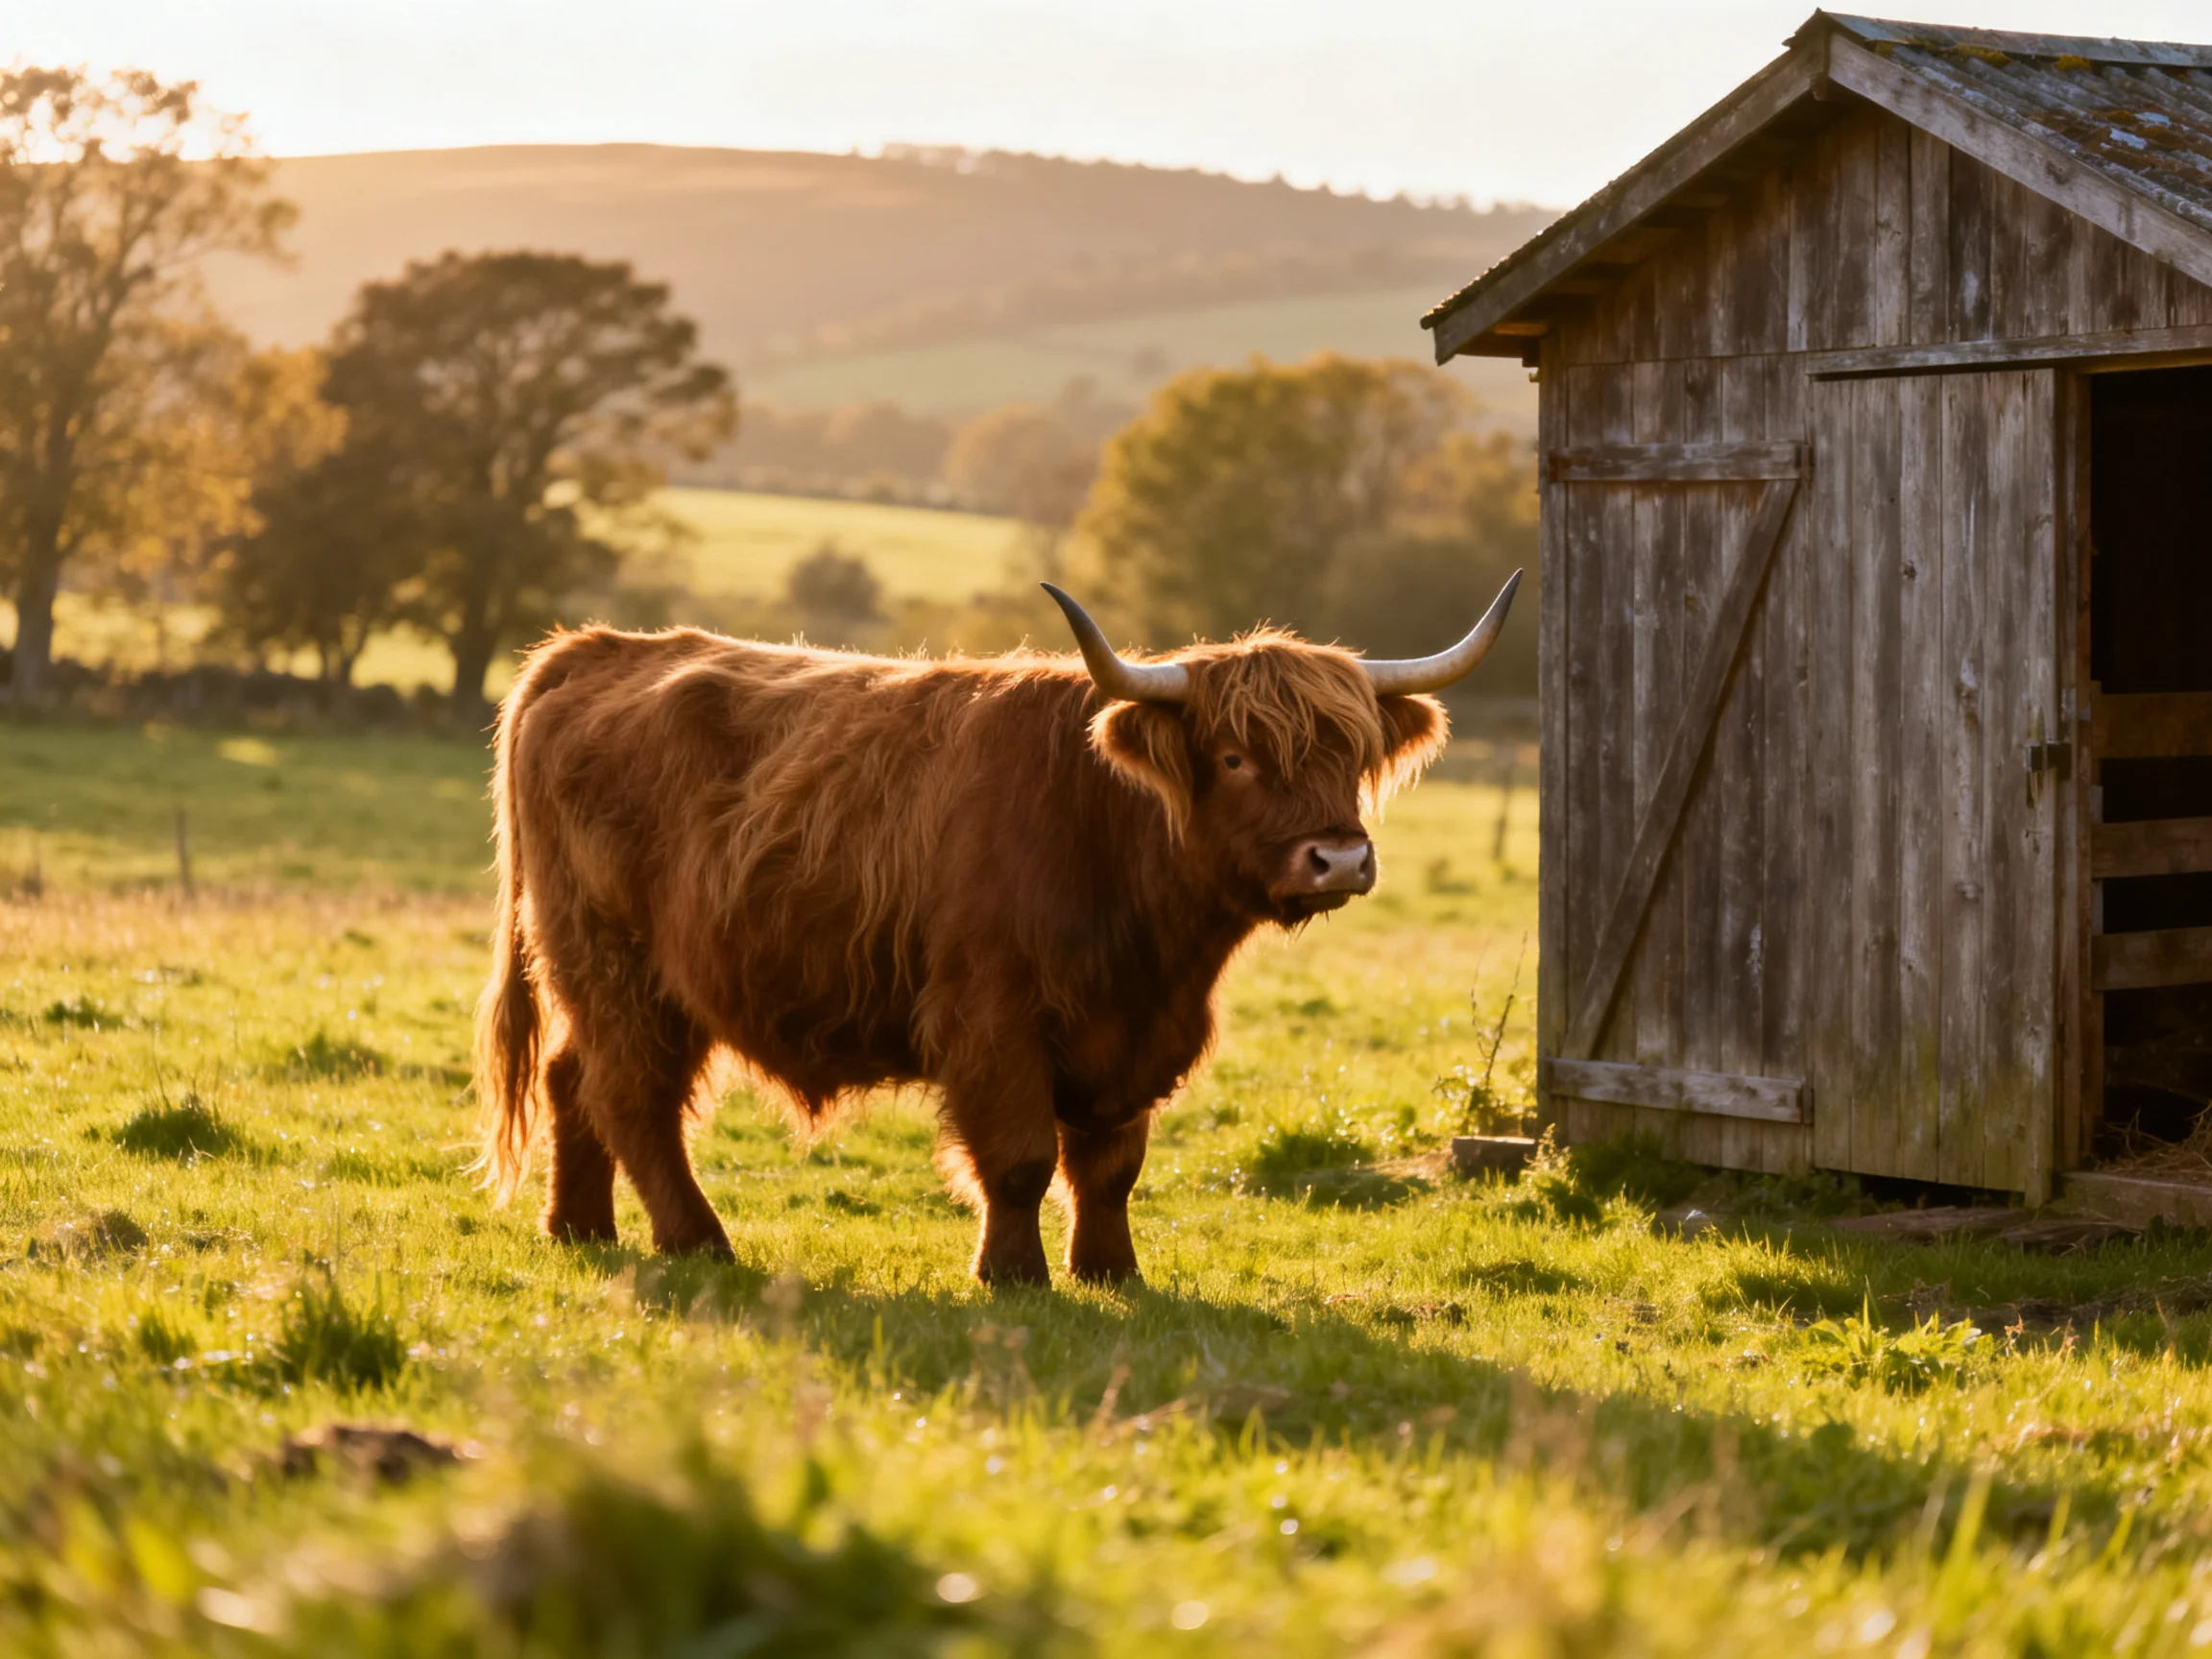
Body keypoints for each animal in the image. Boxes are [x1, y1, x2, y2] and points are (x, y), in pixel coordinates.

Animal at [473, 574, 1519, 1286]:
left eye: (1351, 755)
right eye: (1233, 757)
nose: (1338, 858)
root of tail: (593, 648)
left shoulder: (1134, 1031)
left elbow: (1111, 1166)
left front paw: (1111, 1270)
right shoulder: (992, 1018)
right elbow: (1018, 1160)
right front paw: (1014, 1276)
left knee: (572, 1079)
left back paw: (579, 1228)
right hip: (617, 962)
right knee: (632, 1096)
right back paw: (698, 1242)